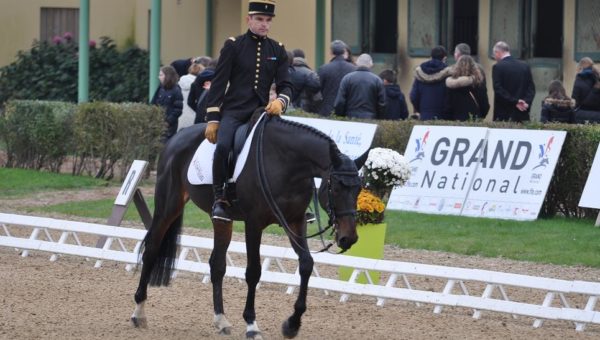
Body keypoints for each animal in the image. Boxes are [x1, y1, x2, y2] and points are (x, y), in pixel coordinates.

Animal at [130, 115, 360, 338]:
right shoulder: (254, 224)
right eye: (336, 188)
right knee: (151, 250)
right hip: (168, 205)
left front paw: (292, 324)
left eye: (359, 189)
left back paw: (221, 320)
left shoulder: (296, 222)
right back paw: (138, 313)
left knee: (217, 264)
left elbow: (306, 264)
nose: (349, 238)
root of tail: (177, 137)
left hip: (222, 220)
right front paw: (251, 324)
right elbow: (254, 272)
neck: (286, 164)